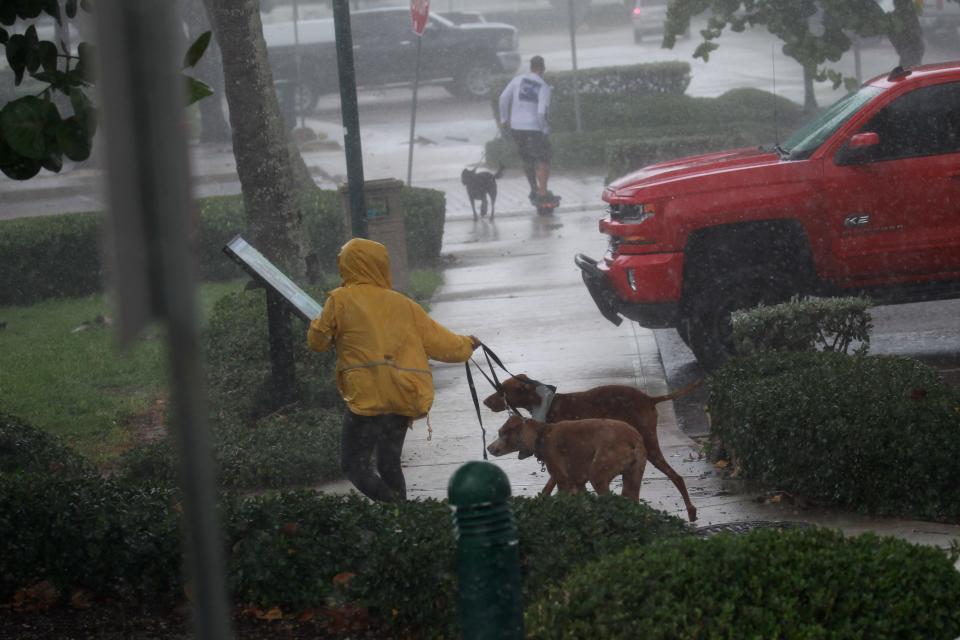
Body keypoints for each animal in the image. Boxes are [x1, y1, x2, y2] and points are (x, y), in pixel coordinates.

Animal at [484, 416, 648, 500]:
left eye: (501, 433)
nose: (488, 448)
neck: (541, 435)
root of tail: (634, 439)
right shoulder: (577, 482)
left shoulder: (562, 479)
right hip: (633, 476)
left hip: (599, 473)